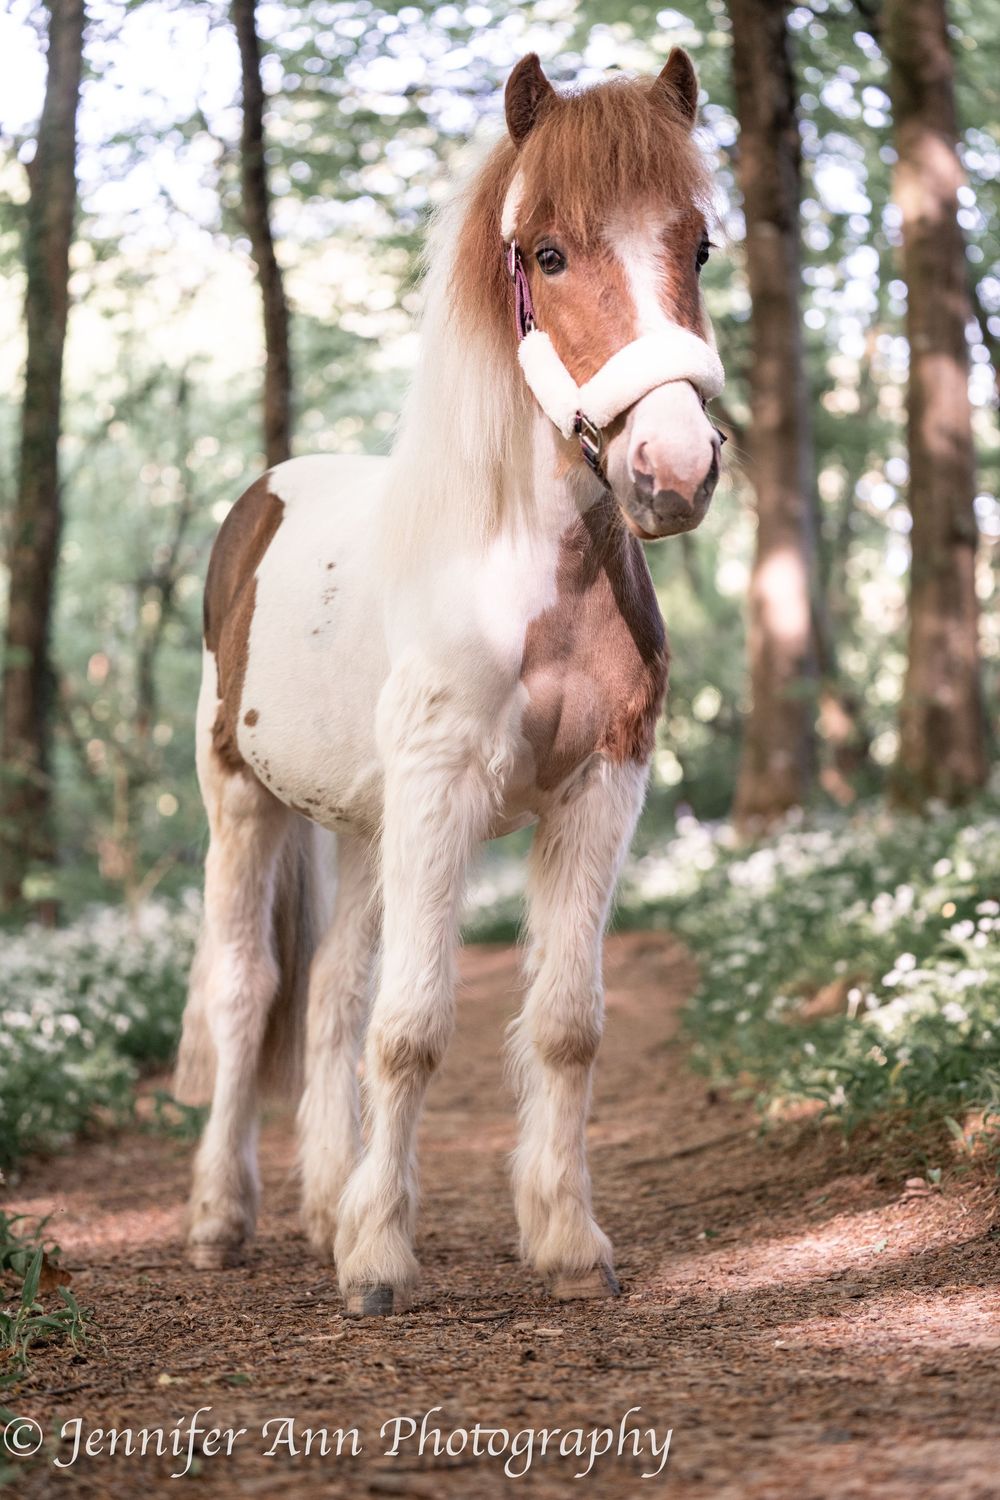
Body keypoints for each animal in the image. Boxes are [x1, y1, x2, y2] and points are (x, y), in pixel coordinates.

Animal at [175, 47, 726, 1317]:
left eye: (698, 245)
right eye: (547, 253)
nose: (670, 469)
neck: (523, 571)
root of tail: (261, 495)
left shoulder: (599, 788)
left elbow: (564, 1025)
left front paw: (566, 1241)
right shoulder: (441, 791)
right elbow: (414, 1028)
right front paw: (380, 1261)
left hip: (363, 827)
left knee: (329, 992)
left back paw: (325, 1204)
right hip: (244, 799)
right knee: (246, 992)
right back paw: (225, 1218)